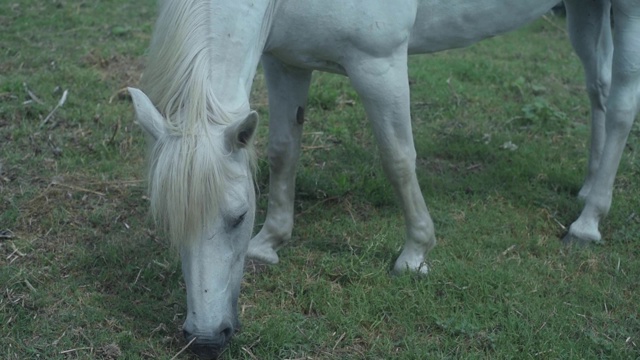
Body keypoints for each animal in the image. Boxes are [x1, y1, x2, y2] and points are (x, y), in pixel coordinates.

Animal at [127, 0, 636, 358]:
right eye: (166, 223)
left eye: (236, 216)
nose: (206, 339)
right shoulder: (286, 62)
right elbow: (283, 152)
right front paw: (271, 241)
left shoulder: (379, 64)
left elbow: (397, 158)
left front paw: (415, 254)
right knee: (598, 89)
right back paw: (588, 188)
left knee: (621, 102)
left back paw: (588, 222)